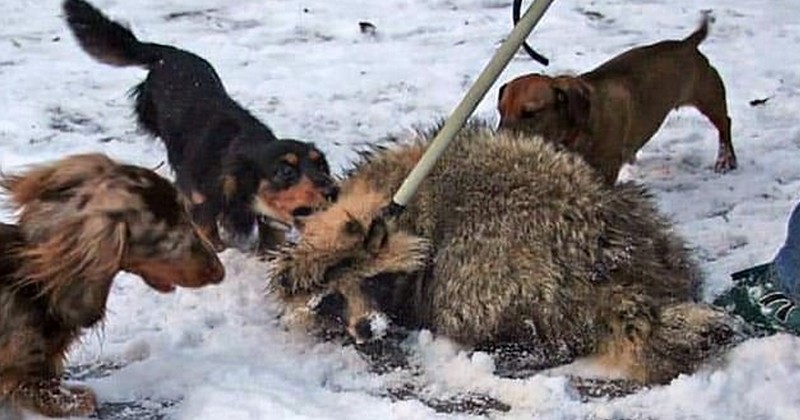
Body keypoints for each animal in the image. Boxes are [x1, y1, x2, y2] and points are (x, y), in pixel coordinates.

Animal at [500, 16, 736, 184]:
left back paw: (726, 159)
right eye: (501, 111)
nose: (501, 139)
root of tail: (687, 44)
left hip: (709, 98)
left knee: (725, 123)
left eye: (530, 113)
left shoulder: (606, 168)